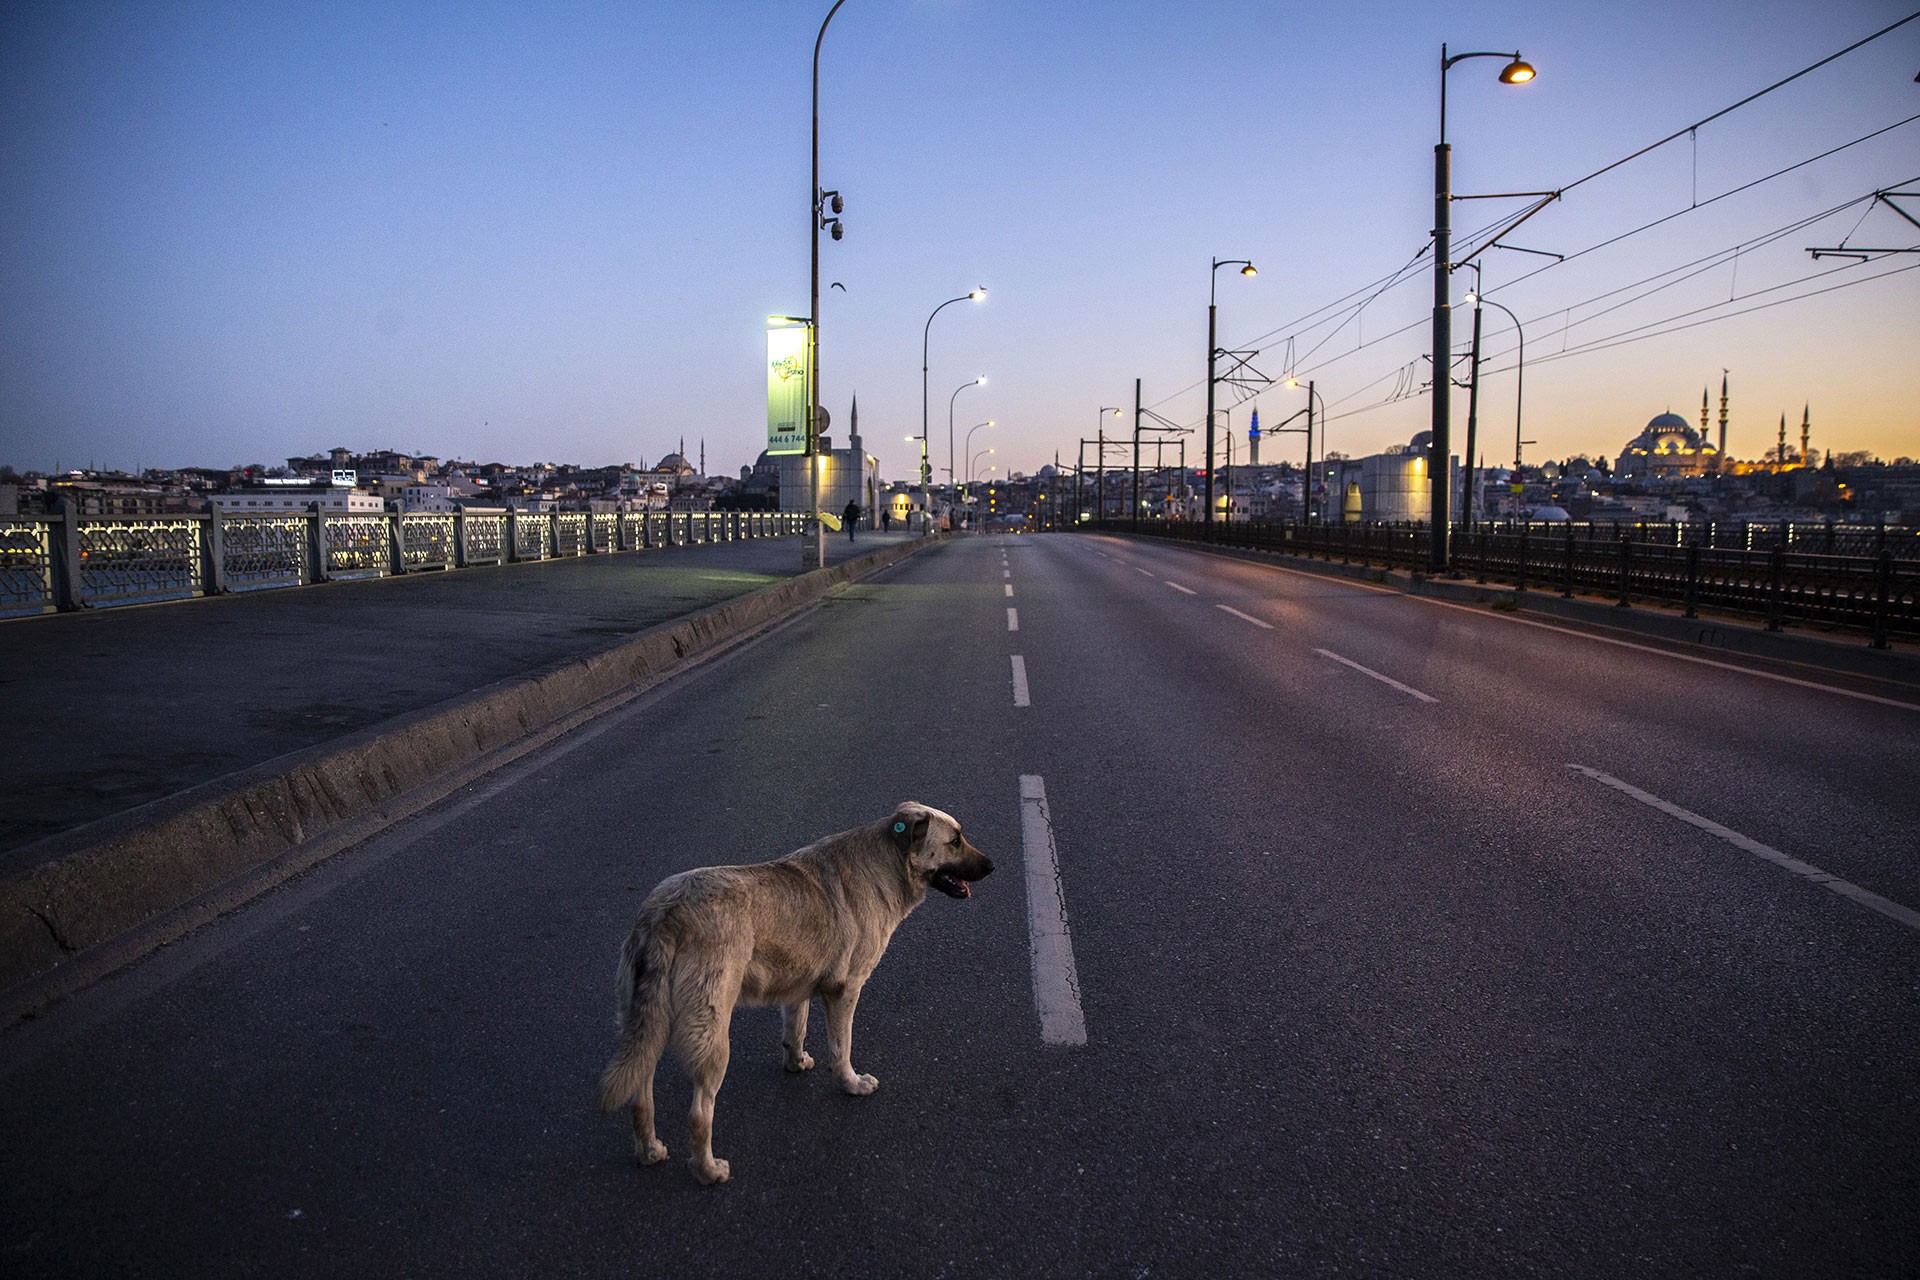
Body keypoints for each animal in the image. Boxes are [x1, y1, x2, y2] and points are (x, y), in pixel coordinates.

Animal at [595, 805, 990, 1189]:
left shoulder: (798, 988)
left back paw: (649, 1151)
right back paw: (708, 1171)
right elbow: (841, 1049)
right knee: (698, 1115)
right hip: (713, 1039)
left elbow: (794, 1031)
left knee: (640, 1095)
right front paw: (851, 1083)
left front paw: (796, 1063)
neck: (886, 861)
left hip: (647, 1025)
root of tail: (666, 915)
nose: (993, 866)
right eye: (955, 841)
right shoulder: (845, 992)